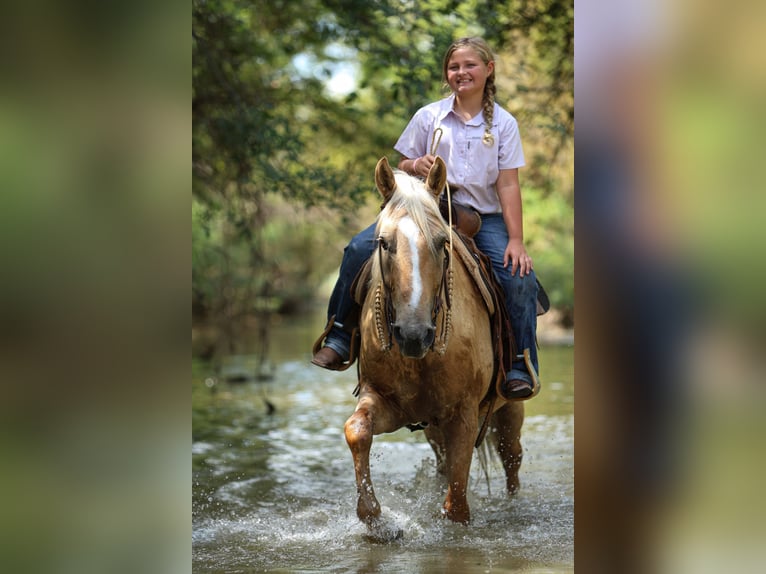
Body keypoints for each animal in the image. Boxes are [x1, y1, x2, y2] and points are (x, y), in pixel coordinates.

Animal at [344, 156, 528, 536]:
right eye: (383, 242)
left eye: (443, 242)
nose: (413, 334)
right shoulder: (384, 400)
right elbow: (357, 430)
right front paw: (376, 520)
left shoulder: (464, 416)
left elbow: (457, 505)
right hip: (433, 428)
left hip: (509, 410)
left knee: (511, 458)